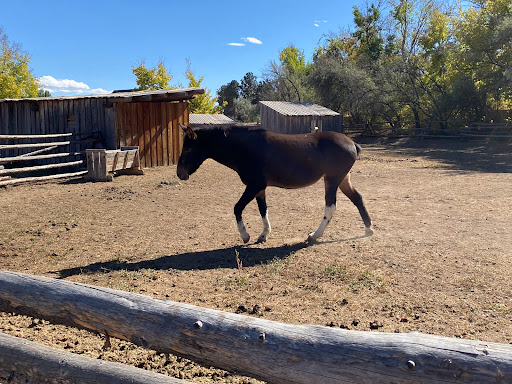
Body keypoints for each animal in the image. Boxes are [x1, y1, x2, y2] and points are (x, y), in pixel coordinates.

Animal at [177, 123, 372, 243]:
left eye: (187, 148)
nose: (180, 173)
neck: (244, 148)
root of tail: (352, 143)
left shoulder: (253, 186)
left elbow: (237, 208)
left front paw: (245, 235)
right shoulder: (260, 188)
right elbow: (263, 209)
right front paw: (264, 234)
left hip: (332, 181)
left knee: (330, 207)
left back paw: (314, 235)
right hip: (343, 180)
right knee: (358, 199)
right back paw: (369, 229)